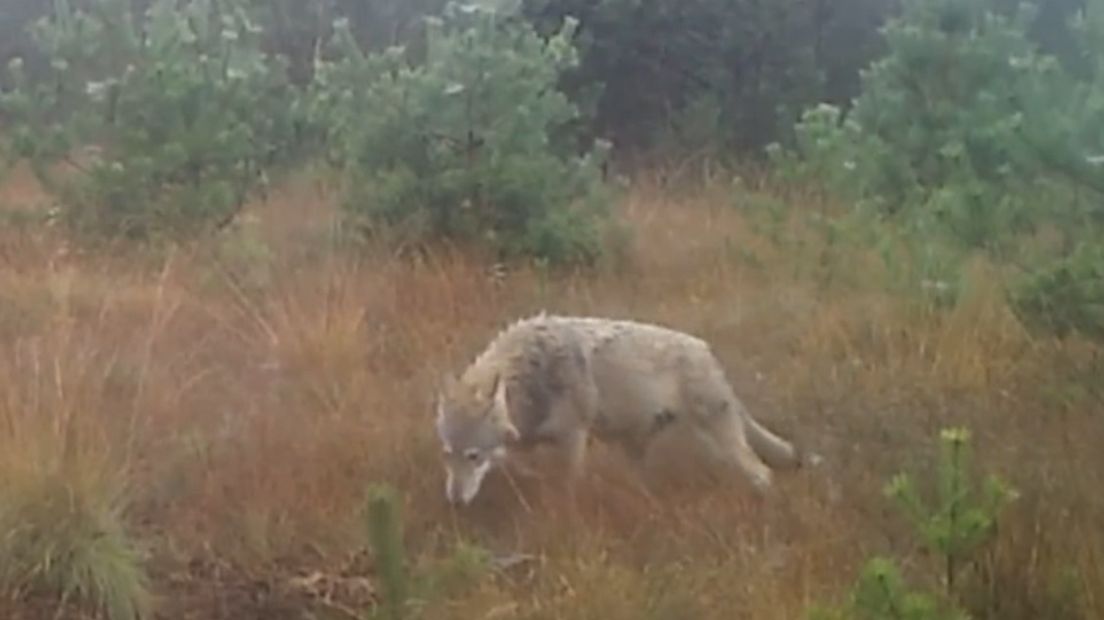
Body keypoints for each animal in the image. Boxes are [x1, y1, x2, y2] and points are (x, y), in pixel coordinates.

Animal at [434, 311, 816, 505]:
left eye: (473, 456)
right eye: (447, 455)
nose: (454, 501)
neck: (532, 371)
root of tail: (708, 352)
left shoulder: (575, 439)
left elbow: (568, 487)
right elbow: (519, 465)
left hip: (723, 442)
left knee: (762, 472)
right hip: (646, 447)